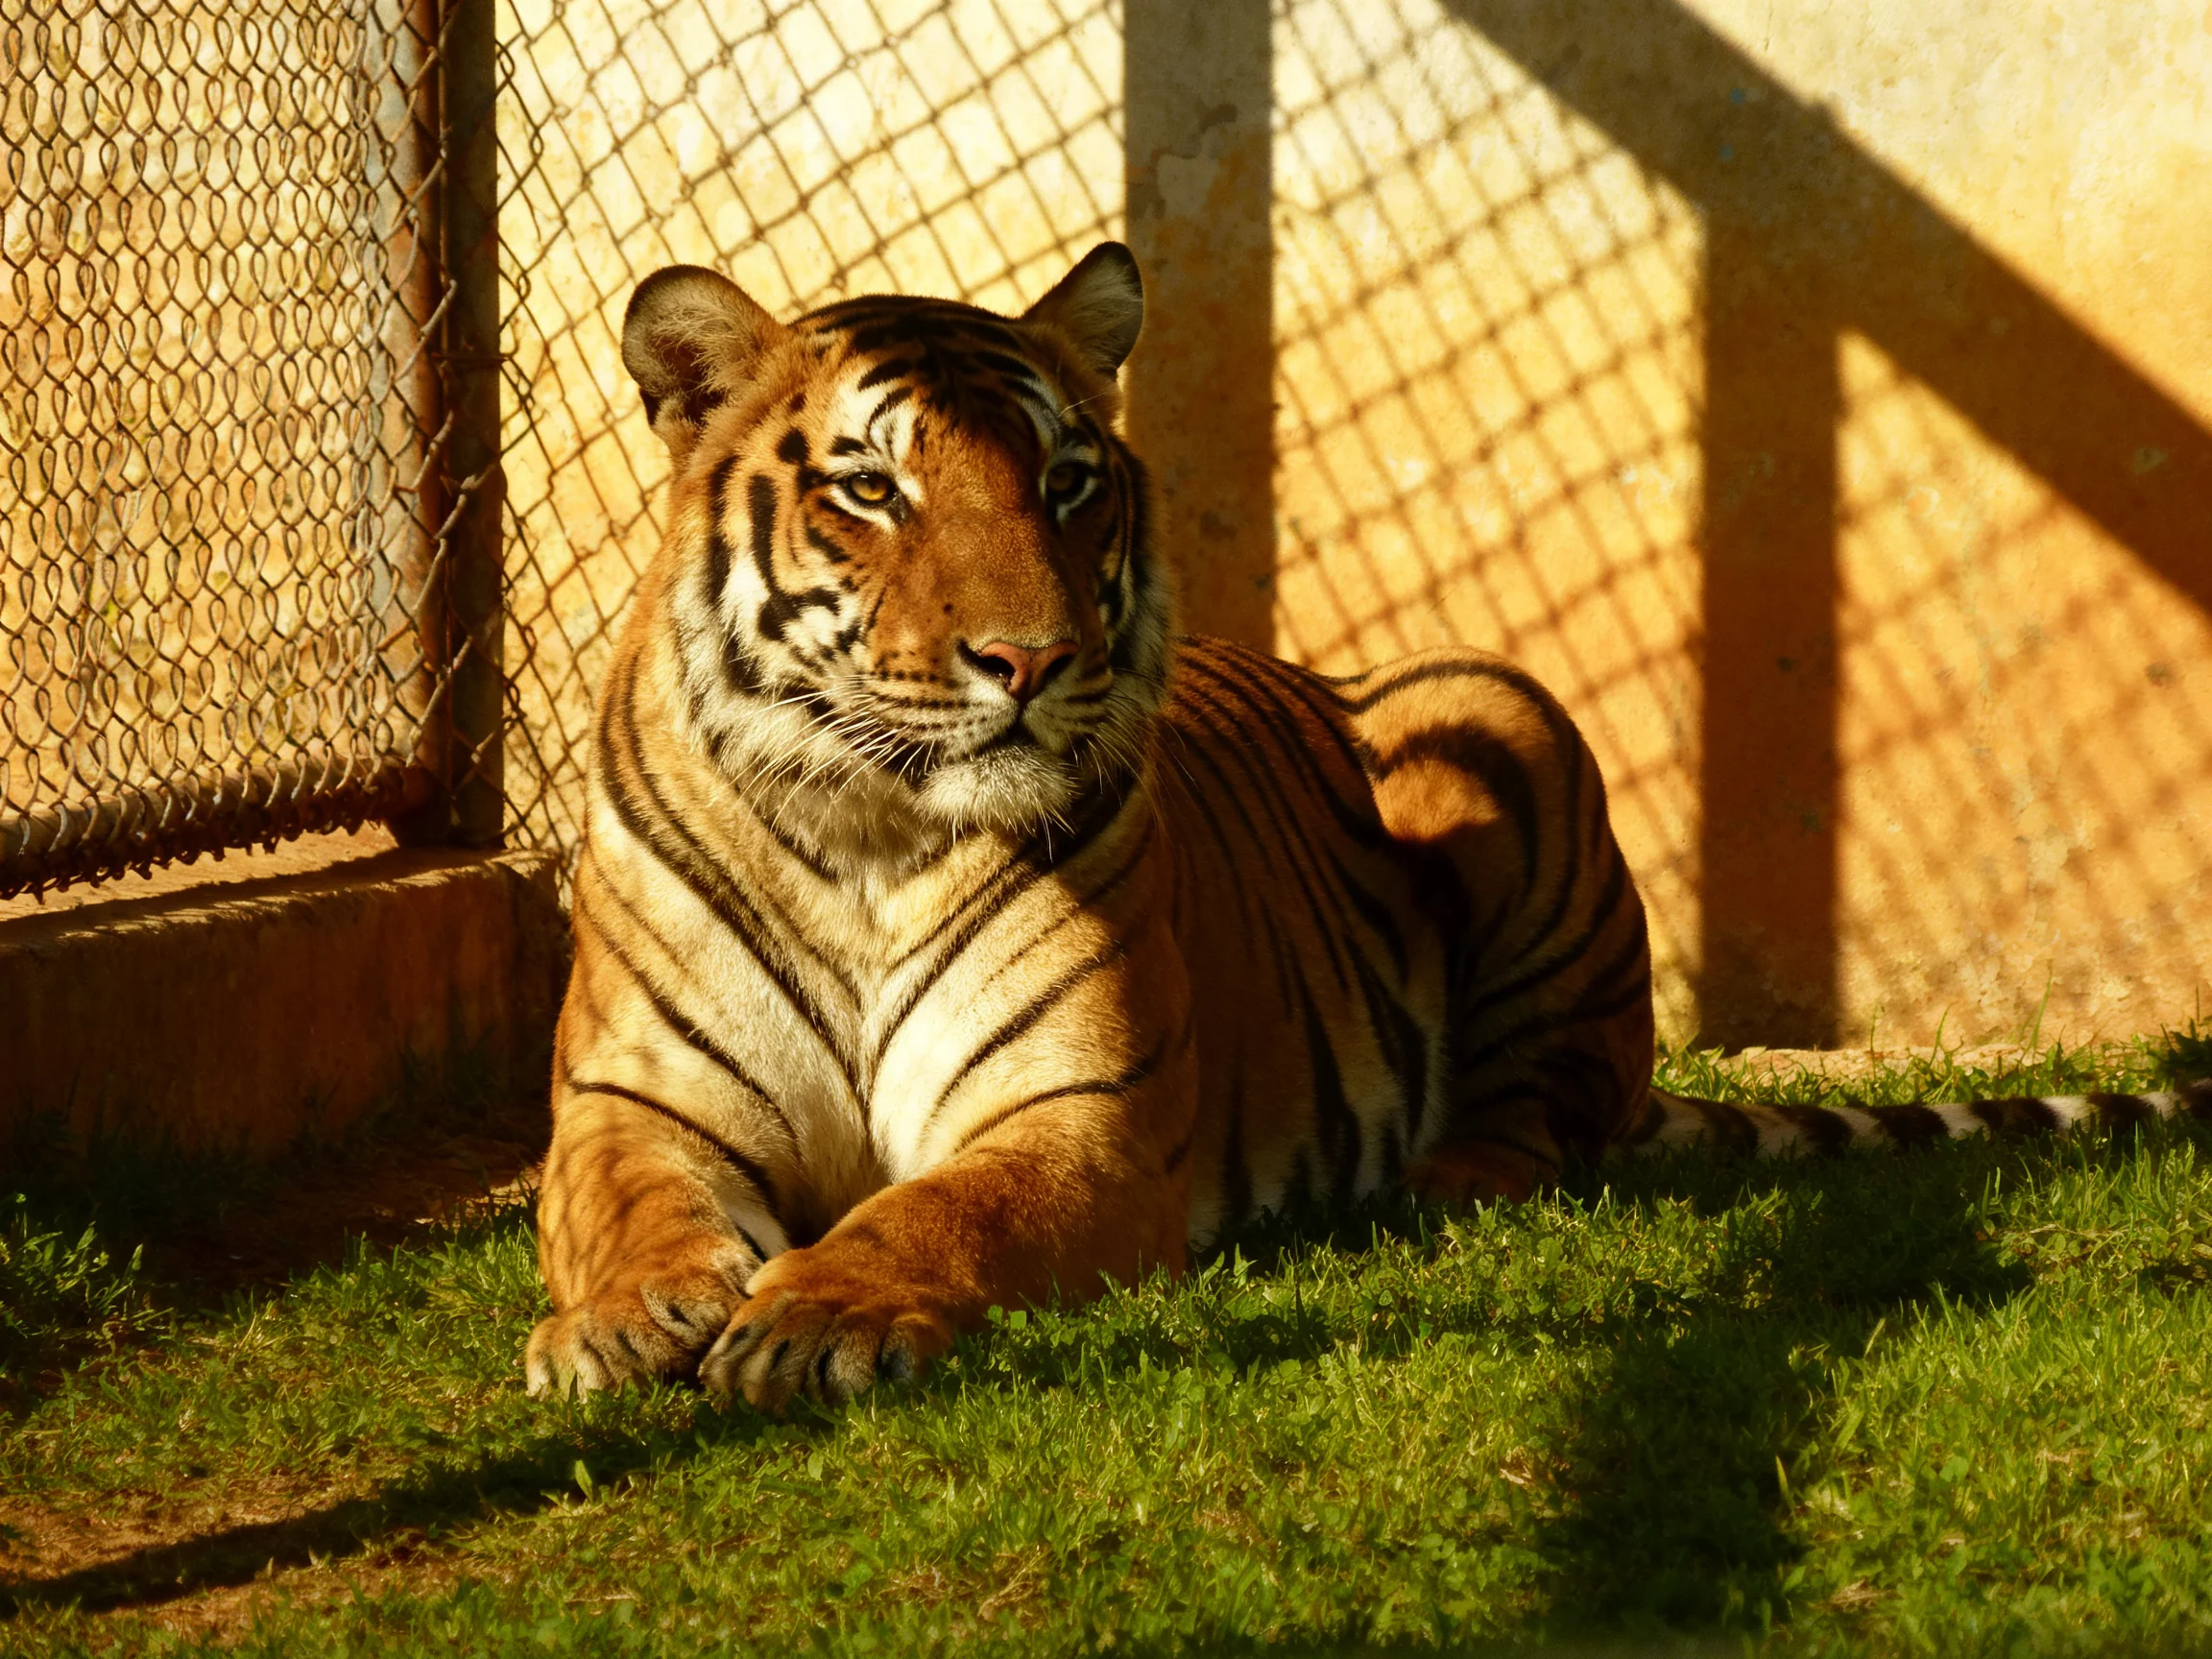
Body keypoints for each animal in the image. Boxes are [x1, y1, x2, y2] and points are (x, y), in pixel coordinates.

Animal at [524, 242, 2211, 1411]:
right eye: (872, 488)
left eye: (1067, 482)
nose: (1033, 659)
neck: (872, 836)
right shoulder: (633, 1098)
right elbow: (620, 1206)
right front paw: (623, 1320)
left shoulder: (1077, 1117)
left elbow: (943, 1213)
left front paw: (816, 1317)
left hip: (1497, 712)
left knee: (1546, 1113)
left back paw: (1437, 1181)